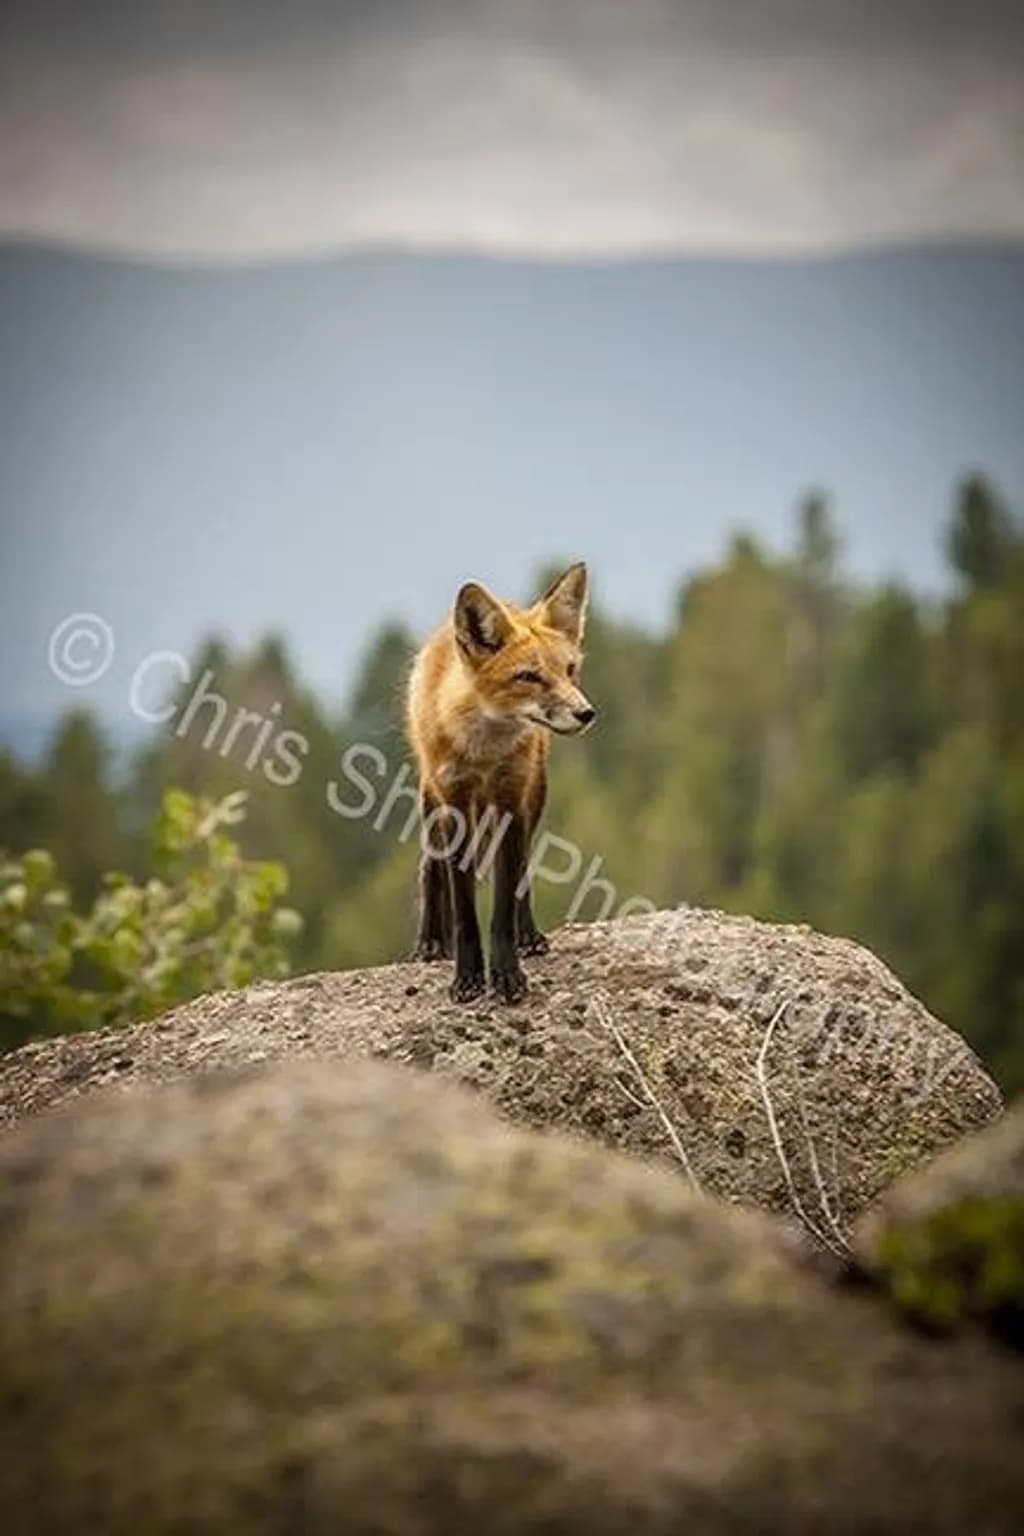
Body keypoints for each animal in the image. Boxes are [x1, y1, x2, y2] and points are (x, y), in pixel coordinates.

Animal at [406, 561, 596, 1004]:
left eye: (569, 670)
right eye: (528, 676)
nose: (586, 713)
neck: (483, 753)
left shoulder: (511, 796)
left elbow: (503, 903)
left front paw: (508, 974)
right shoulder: (454, 799)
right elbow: (463, 911)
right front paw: (467, 978)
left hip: (534, 794)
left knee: (522, 867)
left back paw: (529, 935)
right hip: (431, 800)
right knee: (430, 866)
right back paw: (430, 941)